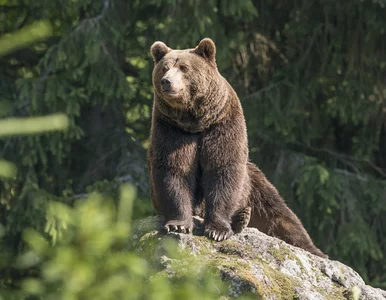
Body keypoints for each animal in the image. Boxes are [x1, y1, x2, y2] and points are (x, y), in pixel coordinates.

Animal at [147, 37, 326, 258]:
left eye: (183, 67)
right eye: (164, 68)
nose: (167, 81)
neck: (195, 121)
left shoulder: (223, 124)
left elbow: (224, 169)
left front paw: (217, 230)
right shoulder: (172, 129)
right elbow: (174, 169)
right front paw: (179, 225)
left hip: (254, 181)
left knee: (279, 213)